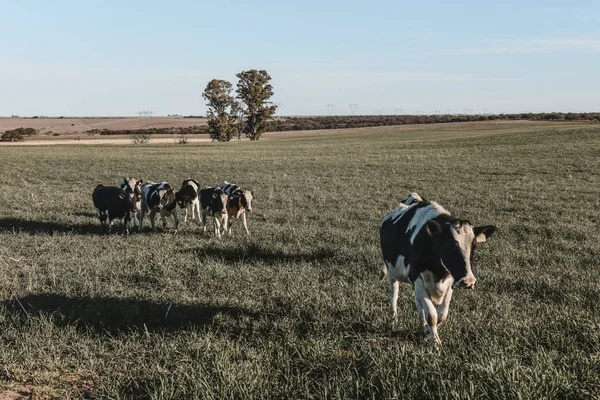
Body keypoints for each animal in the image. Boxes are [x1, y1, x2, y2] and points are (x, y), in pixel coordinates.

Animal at [380, 193, 496, 344]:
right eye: (451, 246)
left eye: (474, 245)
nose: (468, 281)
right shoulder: (417, 278)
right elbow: (432, 315)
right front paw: (435, 342)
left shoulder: (450, 281)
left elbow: (441, 314)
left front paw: (428, 331)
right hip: (392, 273)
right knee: (394, 295)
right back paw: (394, 319)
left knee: (418, 305)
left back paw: (423, 326)